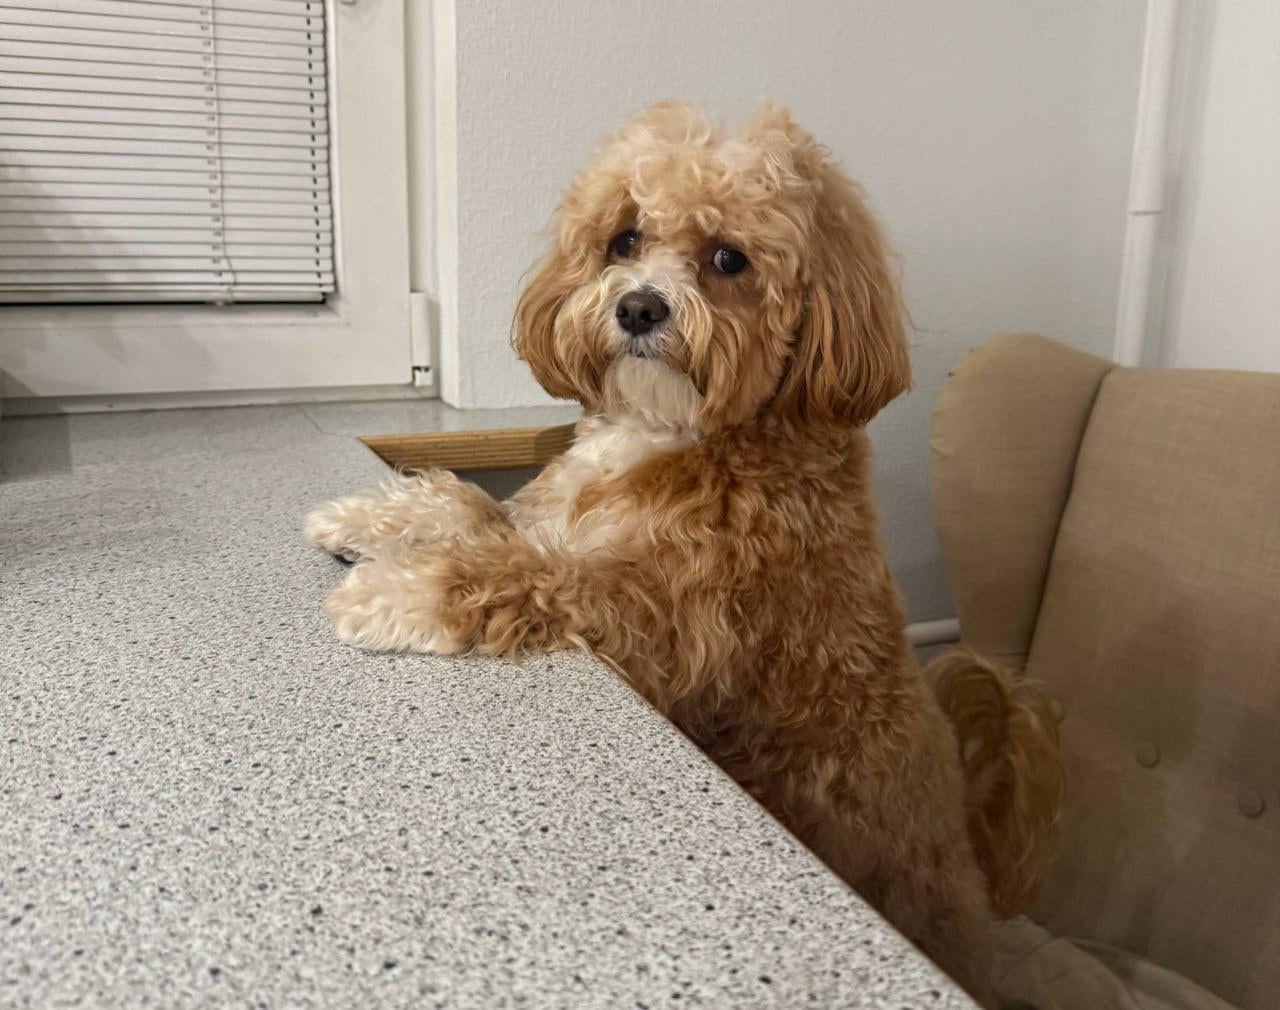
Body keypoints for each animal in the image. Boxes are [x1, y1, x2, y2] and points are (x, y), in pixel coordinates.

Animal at [305, 102, 1062, 1002]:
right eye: (625, 239)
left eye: (728, 257)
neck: (668, 435)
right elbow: (471, 506)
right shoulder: (549, 521)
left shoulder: (671, 626)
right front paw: (362, 517)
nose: (638, 308)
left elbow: (528, 578)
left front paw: (397, 594)